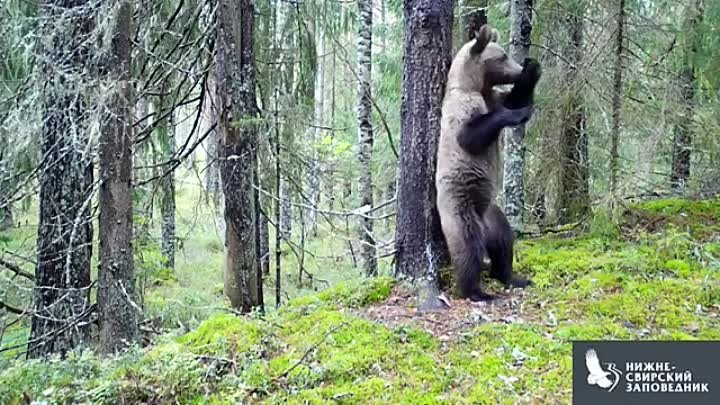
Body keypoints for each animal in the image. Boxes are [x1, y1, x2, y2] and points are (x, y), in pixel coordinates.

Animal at [434, 24, 540, 300]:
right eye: (502, 57)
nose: (518, 68)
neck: (475, 85)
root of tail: (483, 227)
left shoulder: (492, 95)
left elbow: (513, 98)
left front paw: (532, 69)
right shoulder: (461, 110)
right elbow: (471, 136)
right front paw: (518, 113)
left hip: (492, 213)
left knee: (504, 242)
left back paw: (512, 277)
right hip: (460, 207)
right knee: (468, 249)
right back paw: (477, 291)